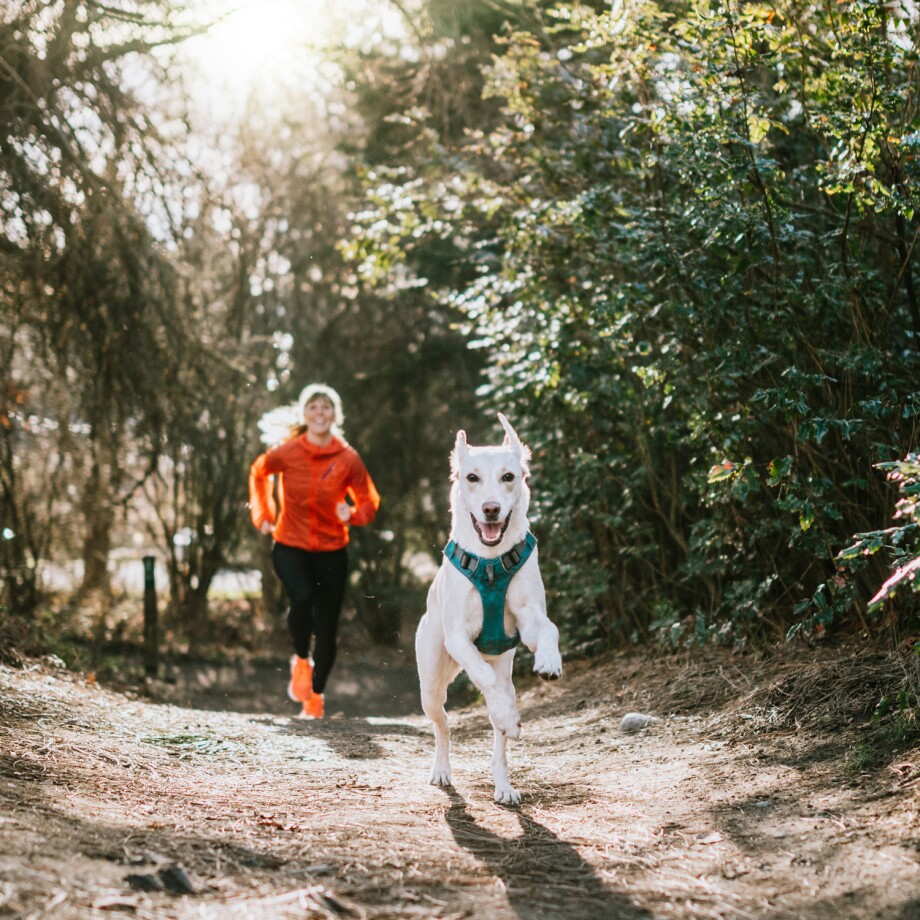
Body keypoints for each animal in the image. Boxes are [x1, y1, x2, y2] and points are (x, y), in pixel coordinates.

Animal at [416, 414, 560, 800]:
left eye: (508, 477)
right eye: (472, 477)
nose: (491, 508)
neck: (492, 563)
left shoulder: (528, 616)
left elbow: (549, 628)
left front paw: (549, 660)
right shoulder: (458, 638)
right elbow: (482, 676)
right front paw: (506, 713)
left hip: (506, 675)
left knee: (499, 733)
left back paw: (503, 783)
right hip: (430, 684)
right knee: (444, 724)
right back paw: (442, 769)